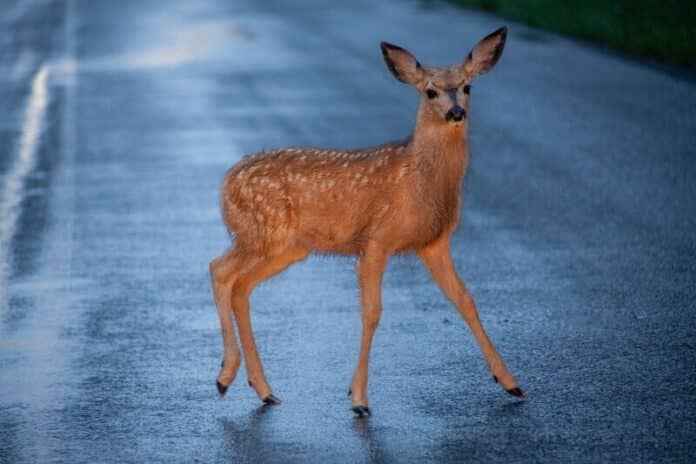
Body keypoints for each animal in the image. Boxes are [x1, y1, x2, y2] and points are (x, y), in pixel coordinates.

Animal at [210, 26, 524, 417]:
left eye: (468, 87)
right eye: (430, 91)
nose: (455, 112)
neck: (418, 179)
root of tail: (226, 181)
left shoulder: (433, 243)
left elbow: (466, 301)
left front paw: (511, 383)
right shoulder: (377, 239)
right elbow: (372, 312)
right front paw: (359, 399)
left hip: (286, 247)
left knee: (236, 282)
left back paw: (258, 388)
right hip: (263, 231)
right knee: (223, 272)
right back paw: (231, 378)